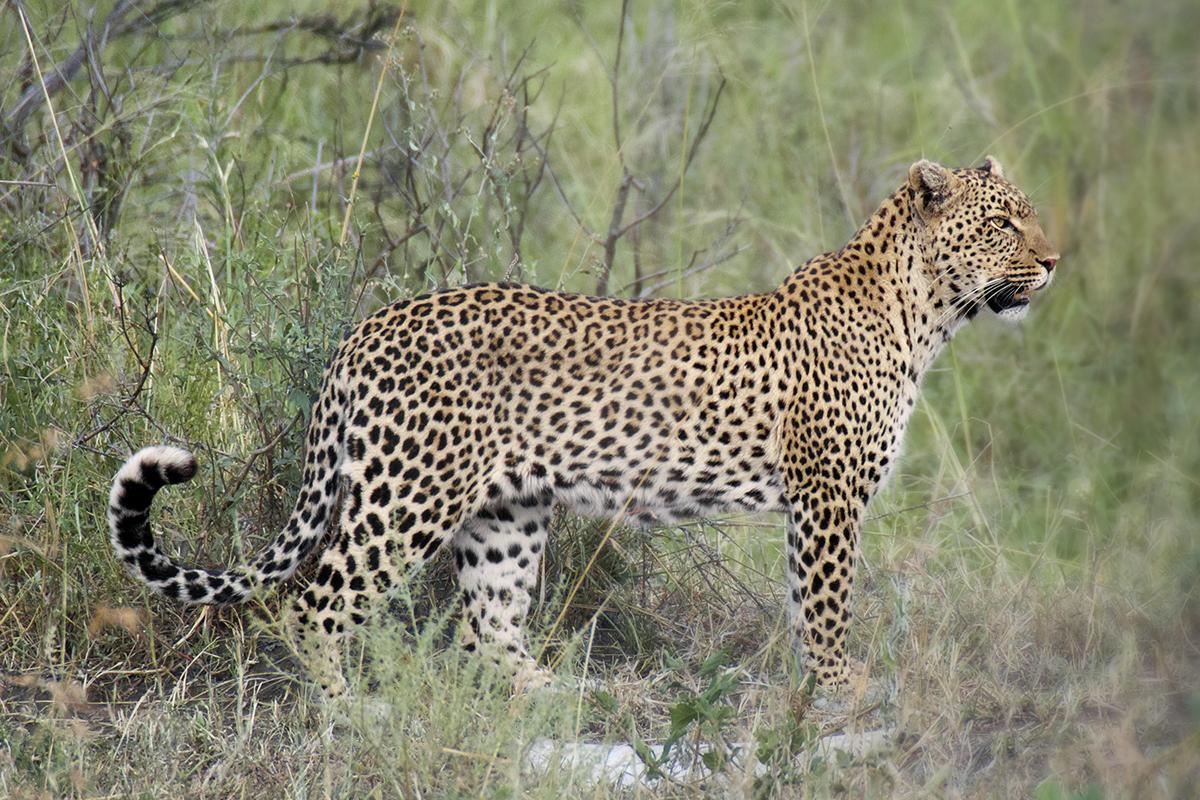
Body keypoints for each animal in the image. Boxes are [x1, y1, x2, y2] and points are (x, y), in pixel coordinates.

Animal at [107, 156, 1059, 698]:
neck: (927, 313)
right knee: (313, 605)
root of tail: (364, 328)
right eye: (1002, 221)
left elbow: (805, 605)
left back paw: (560, 697)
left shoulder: (814, 504)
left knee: (485, 630)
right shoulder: (828, 498)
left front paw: (825, 689)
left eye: (1030, 214)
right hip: (404, 500)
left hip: (505, 513)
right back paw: (351, 714)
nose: (1054, 261)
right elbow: (825, 607)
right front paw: (842, 690)